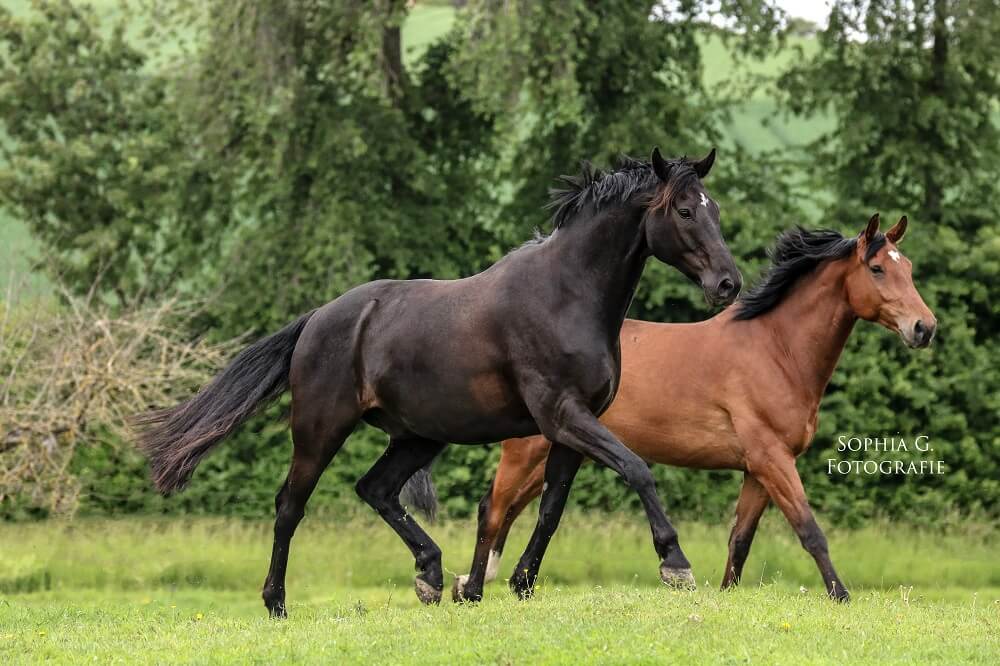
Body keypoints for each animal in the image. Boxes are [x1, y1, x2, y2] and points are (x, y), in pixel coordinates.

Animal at [454, 214, 936, 600]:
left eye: (909, 268)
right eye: (877, 268)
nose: (924, 328)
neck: (776, 350)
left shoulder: (758, 470)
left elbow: (740, 540)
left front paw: (726, 596)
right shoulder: (773, 460)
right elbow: (810, 531)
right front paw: (841, 595)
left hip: (560, 452)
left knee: (510, 510)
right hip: (528, 451)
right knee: (493, 509)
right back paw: (467, 587)